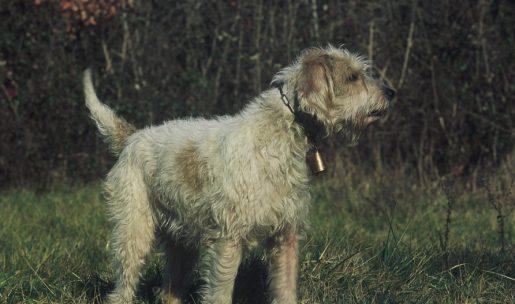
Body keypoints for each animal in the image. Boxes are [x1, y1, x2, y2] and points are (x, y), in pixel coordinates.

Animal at [83, 45, 396, 304]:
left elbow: (285, 290)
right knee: (122, 288)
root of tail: (132, 137)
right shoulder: (228, 241)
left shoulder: (286, 238)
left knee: (169, 291)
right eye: (353, 77)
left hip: (181, 244)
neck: (280, 135)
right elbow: (221, 293)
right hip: (133, 233)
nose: (391, 93)